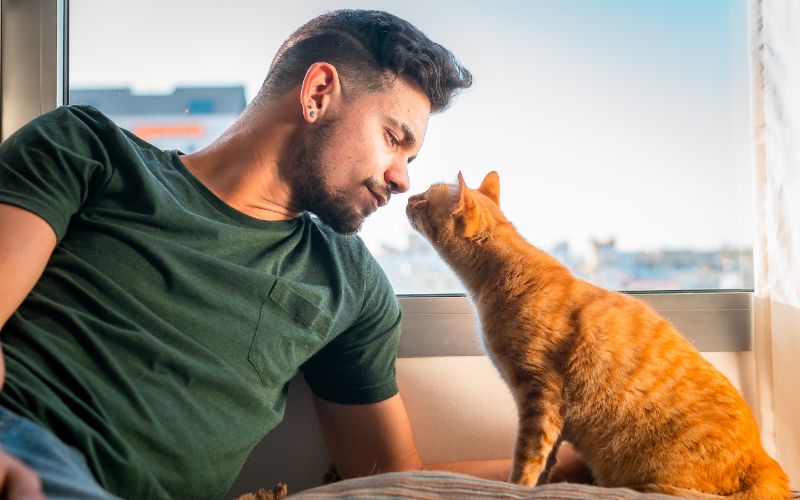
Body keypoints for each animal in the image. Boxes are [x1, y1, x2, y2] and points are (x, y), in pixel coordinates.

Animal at [406, 170, 788, 498]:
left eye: (424, 198)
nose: (408, 197)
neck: (501, 275)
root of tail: (763, 458)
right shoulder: (550, 412)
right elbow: (547, 460)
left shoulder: (540, 395)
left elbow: (527, 460)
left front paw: (516, 487)